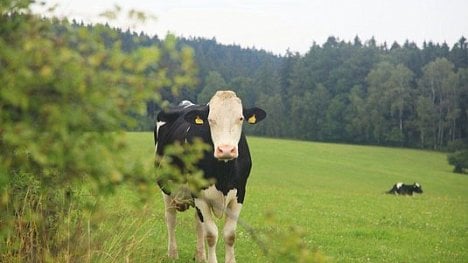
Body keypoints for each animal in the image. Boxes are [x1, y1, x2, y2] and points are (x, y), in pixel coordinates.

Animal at [154, 91, 266, 263]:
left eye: (240, 118)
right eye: (210, 119)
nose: (226, 149)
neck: (224, 176)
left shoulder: (239, 194)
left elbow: (230, 234)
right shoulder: (199, 194)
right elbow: (212, 235)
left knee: (198, 223)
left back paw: (200, 255)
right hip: (166, 189)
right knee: (171, 219)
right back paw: (172, 253)